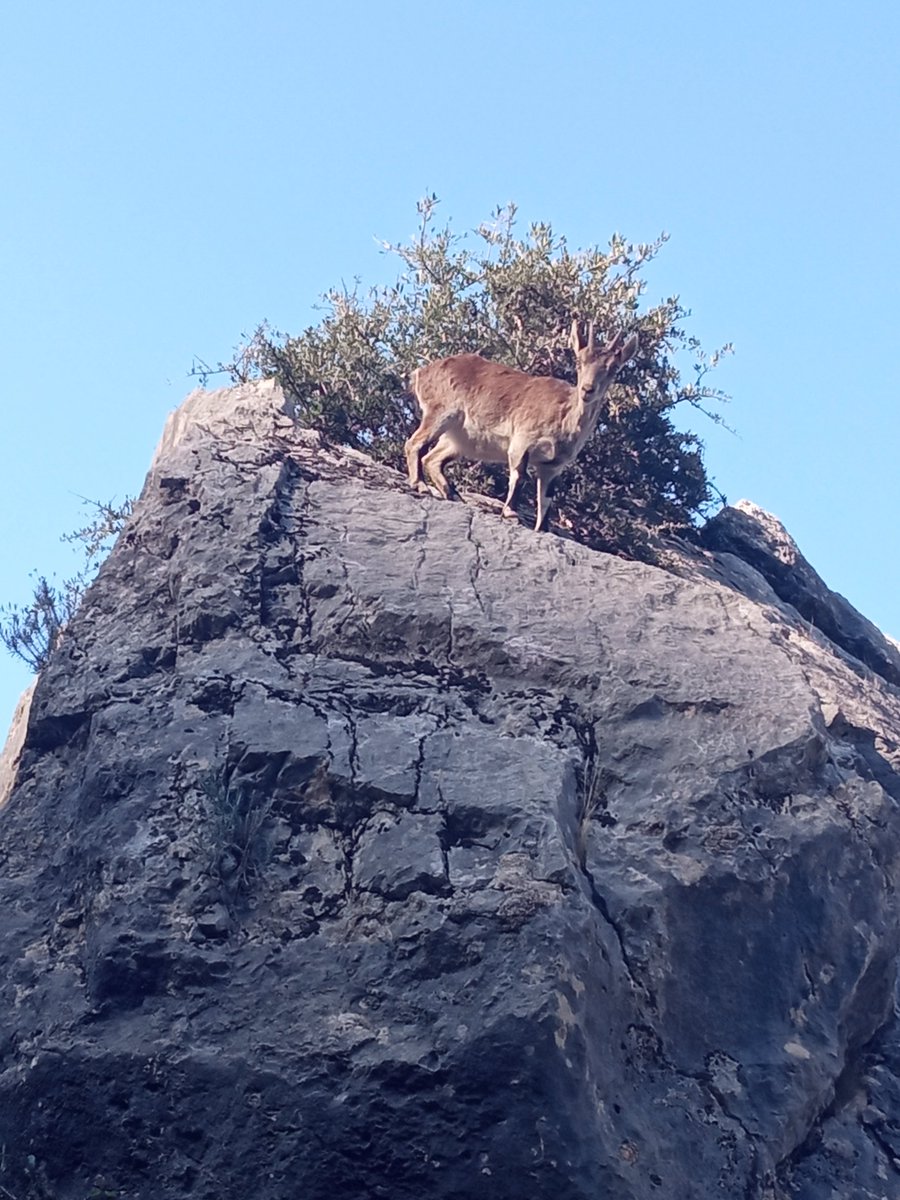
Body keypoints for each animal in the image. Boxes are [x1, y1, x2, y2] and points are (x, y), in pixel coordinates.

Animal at [404, 321, 640, 531]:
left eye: (613, 368)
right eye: (579, 362)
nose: (587, 390)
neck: (565, 417)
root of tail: (422, 372)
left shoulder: (553, 465)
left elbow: (546, 497)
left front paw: (543, 528)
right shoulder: (522, 441)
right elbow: (519, 475)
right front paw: (510, 512)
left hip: (459, 439)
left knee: (433, 459)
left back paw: (453, 495)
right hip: (441, 413)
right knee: (415, 443)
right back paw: (421, 485)